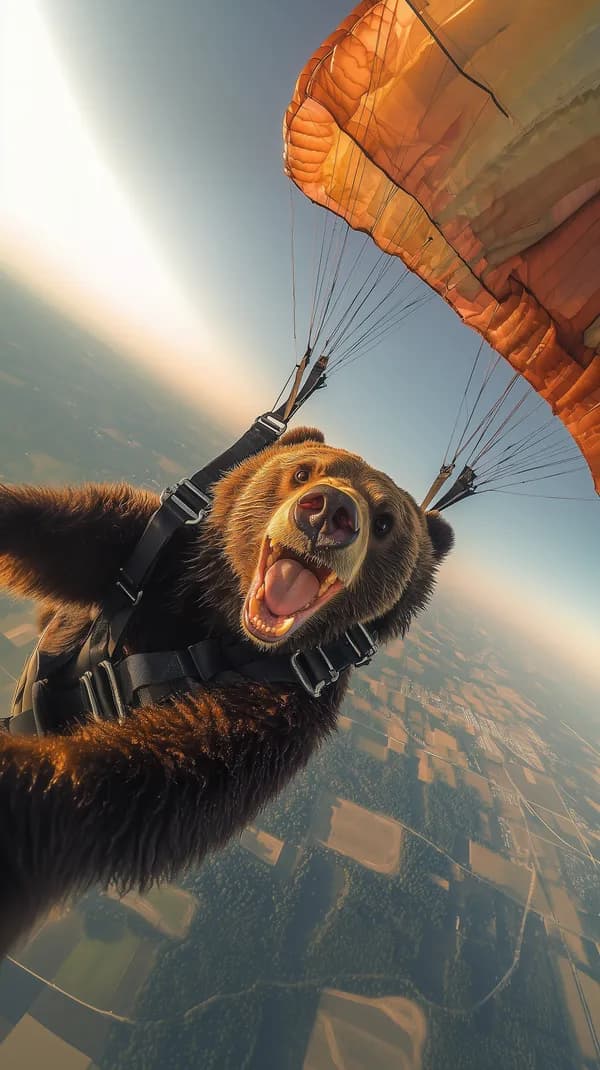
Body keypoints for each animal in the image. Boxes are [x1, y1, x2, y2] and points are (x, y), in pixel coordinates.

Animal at [0, 427, 453, 954]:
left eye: (385, 523)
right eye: (303, 472)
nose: (331, 511)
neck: (223, 626)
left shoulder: (276, 712)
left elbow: (145, 771)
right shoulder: (160, 554)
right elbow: (64, 527)